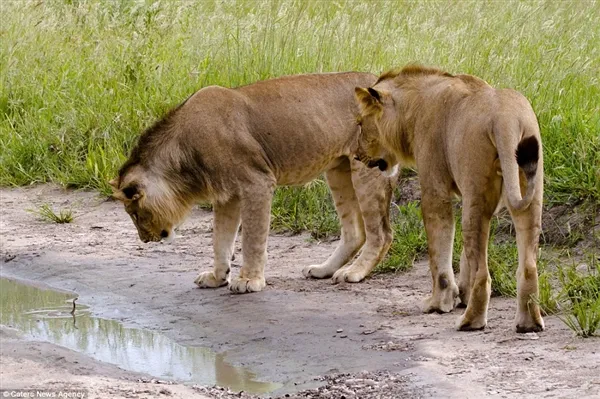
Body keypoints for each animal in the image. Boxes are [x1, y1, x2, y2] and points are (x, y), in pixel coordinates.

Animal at [110, 73, 396, 296]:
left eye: (134, 213)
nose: (145, 240)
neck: (183, 150)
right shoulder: (227, 195)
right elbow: (220, 238)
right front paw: (217, 277)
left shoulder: (257, 182)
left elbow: (251, 238)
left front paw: (249, 280)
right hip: (338, 170)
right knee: (354, 232)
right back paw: (324, 270)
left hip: (368, 167)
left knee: (381, 234)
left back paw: (354, 272)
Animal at [354, 66, 548, 334]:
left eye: (361, 124)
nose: (356, 155)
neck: (412, 109)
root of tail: (505, 120)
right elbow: (465, 255)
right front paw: (462, 295)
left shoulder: (435, 190)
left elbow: (439, 248)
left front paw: (439, 302)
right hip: (528, 188)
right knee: (527, 265)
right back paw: (529, 323)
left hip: (476, 188)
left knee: (483, 274)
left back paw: (471, 321)